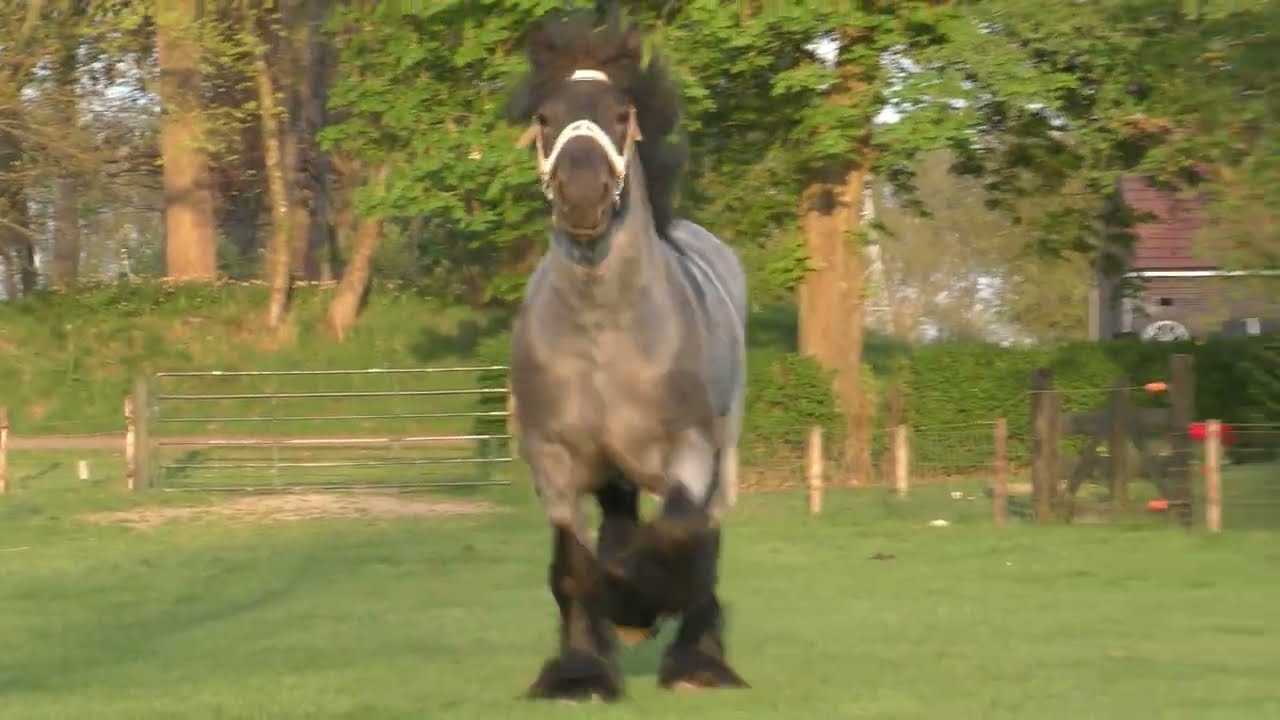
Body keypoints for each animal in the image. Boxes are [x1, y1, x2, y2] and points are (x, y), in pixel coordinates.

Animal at [505, 7, 750, 703]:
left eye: (620, 112)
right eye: (544, 117)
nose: (583, 194)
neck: (602, 334)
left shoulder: (688, 453)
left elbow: (679, 533)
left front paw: (641, 614)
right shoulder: (553, 461)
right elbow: (571, 562)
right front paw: (580, 671)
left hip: (723, 452)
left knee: (705, 534)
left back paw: (698, 658)